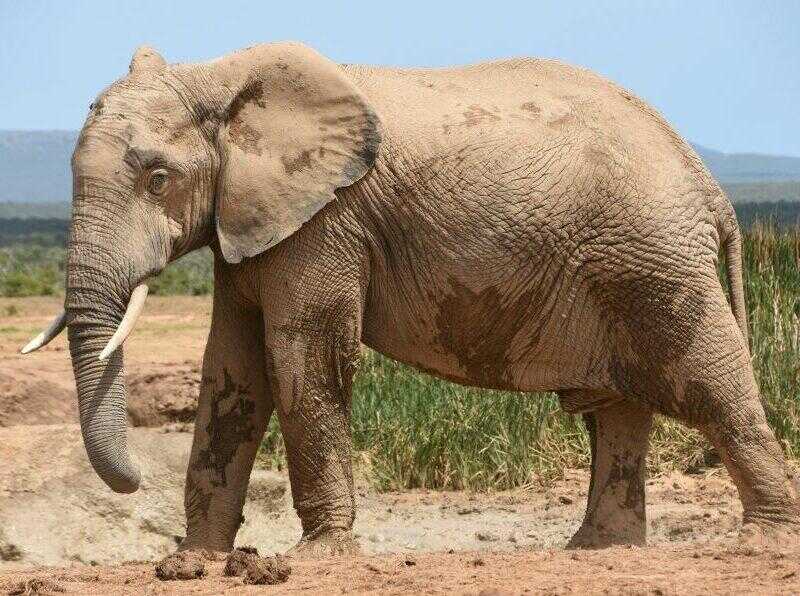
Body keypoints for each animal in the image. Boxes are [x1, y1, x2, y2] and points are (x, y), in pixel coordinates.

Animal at [22, 42, 799, 555]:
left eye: (156, 179)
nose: (130, 484)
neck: (217, 77)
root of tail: (707, 181)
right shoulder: (251, 221)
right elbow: (232, 369)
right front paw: (194, 562)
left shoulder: (326, 221)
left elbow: (302, 358)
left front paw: (319, 557)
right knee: (617, 408)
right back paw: (596, 551)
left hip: (654, 259)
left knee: (711, 383)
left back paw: (759, 542)